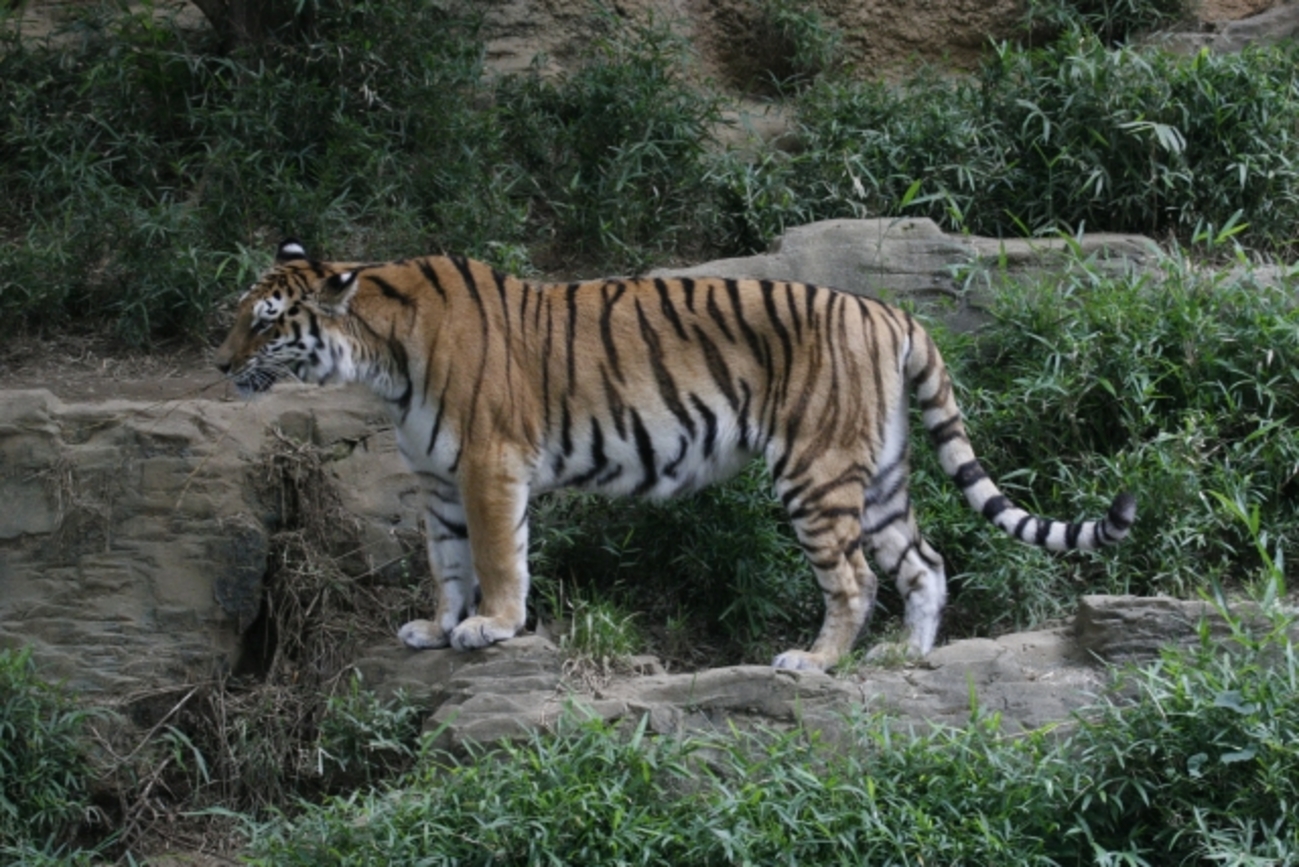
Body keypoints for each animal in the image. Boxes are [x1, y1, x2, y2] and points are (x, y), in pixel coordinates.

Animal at [215, 239, 1136, 672]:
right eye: (237, 315)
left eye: (265, 321)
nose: (219, 365)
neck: (381, 359)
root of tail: (890, 312)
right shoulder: (440, 482)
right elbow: (446, 562)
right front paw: (438, 627)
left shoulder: (486, 464)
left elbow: (499, 556)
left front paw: (491, 626)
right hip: (876, 474)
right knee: (924, 561)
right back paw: (903, 659)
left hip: (815, 470)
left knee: (855, 577)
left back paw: (814, 662)